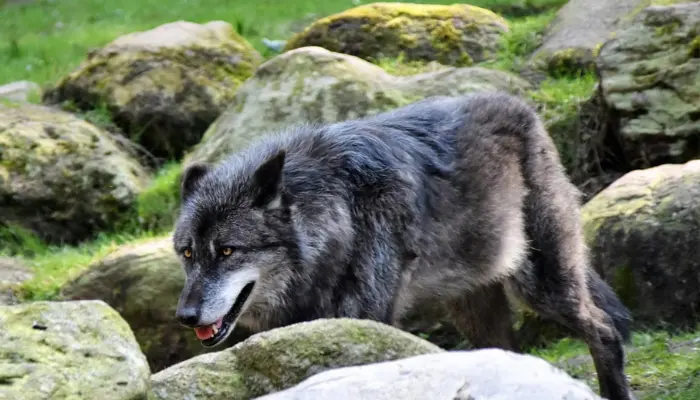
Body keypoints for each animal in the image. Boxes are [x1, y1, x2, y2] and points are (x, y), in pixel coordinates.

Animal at [173, 92, 635, 400]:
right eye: (188, 253)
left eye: (228, 251)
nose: (185, 316)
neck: (339, 216)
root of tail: (521, 107)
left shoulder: (367, 320)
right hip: (473, 308)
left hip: (542, 284)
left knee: (603, 330)